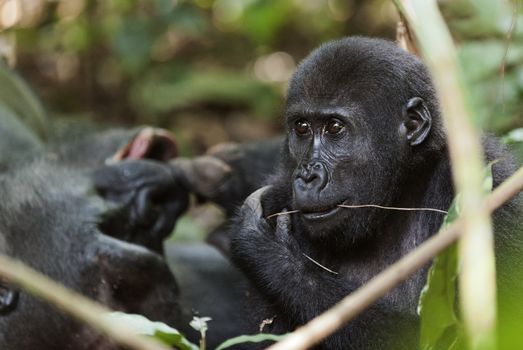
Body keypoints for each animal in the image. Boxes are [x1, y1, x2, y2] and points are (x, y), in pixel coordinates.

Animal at [230, 37, 523, 348]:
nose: (307, 176)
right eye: (302, 127)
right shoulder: (279, 194)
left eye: (335, 128)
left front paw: (273, 257)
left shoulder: (492, 195)